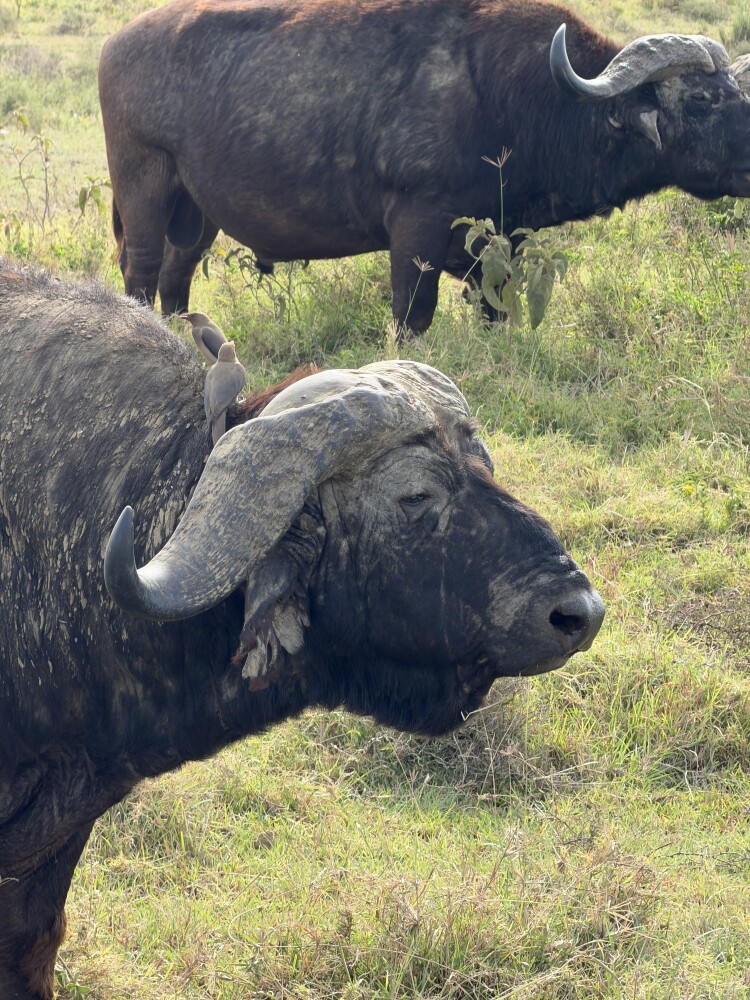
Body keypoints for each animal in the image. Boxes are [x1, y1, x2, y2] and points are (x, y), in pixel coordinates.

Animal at [98, 0, 750, 332]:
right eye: (701, 98)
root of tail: (116, 43)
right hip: (144, 187)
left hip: (197, 212)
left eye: (735, 90)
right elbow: (413, 315)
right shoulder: (417, 228)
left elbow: (494, 311)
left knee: (175, 276)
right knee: (141, 270)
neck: (516, 94)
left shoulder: (501, 239)